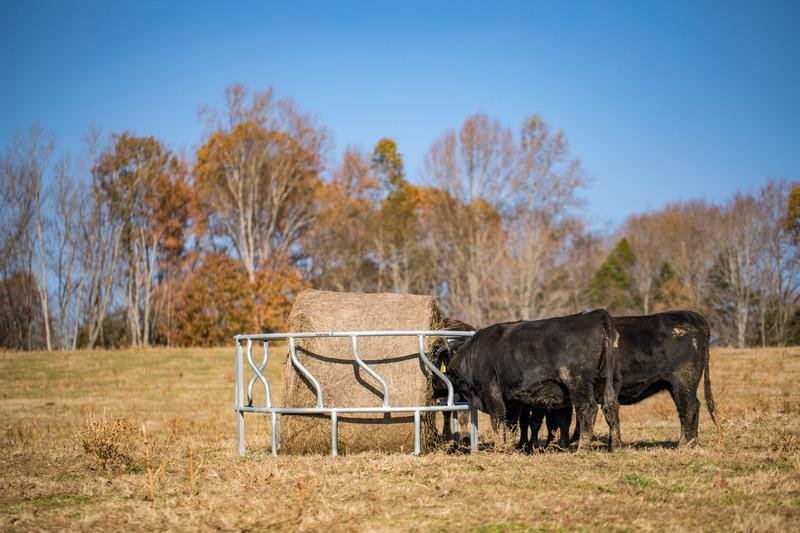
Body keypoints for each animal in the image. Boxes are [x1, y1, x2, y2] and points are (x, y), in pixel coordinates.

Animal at [446, 309, 622, 451]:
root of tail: (595, 314)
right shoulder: (511, 399)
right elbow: (511, 424)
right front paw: (510, 447)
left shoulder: (491, 389)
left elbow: (498, 418)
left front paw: (500, 447)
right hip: (607, 382)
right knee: (611, 407)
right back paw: (615, 446)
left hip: (577, 382)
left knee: (588, 409)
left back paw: (582, 448)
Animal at [569, 310, 716, 446]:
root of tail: (696, 317)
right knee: (695, 405)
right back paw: (693, 442)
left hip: (682, 381)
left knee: (688, 407)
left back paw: (683, 444)